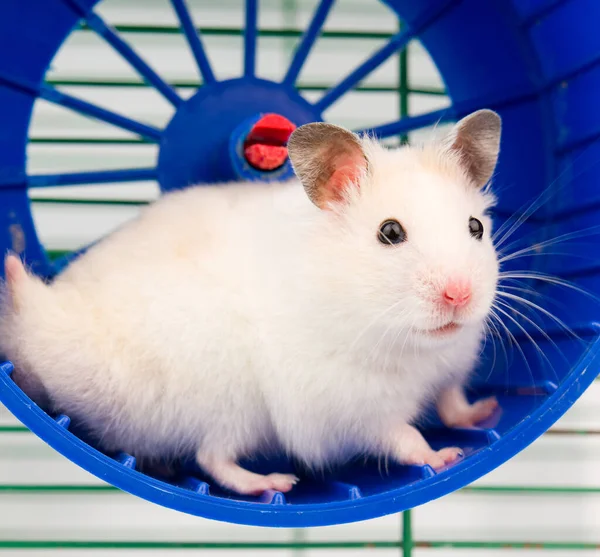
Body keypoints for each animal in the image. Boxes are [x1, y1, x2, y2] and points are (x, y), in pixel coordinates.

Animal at [0, 109, 502, 496]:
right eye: (390, 232)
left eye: (476, 227)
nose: (460, 295)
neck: (412, 344)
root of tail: (37, 334)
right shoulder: (353, 408)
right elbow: (405, 436)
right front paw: (448, 455)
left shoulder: (452, 365)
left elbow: (453, 400)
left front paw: (487, 410)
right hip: (229, 407)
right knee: (212, 458)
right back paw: (273, 483)